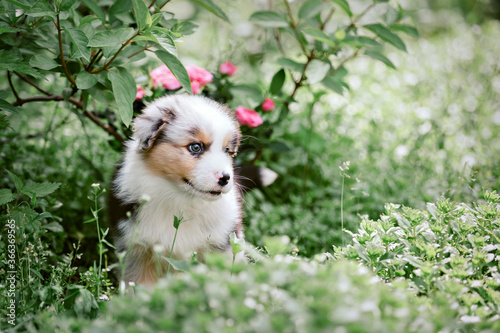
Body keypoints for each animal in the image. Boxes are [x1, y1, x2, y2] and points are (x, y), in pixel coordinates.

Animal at [107, 94, 244, 286]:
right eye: (196, 147)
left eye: (227, 150)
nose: (225, 178)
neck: (180, 197)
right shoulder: (136, 249)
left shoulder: (222, 243)